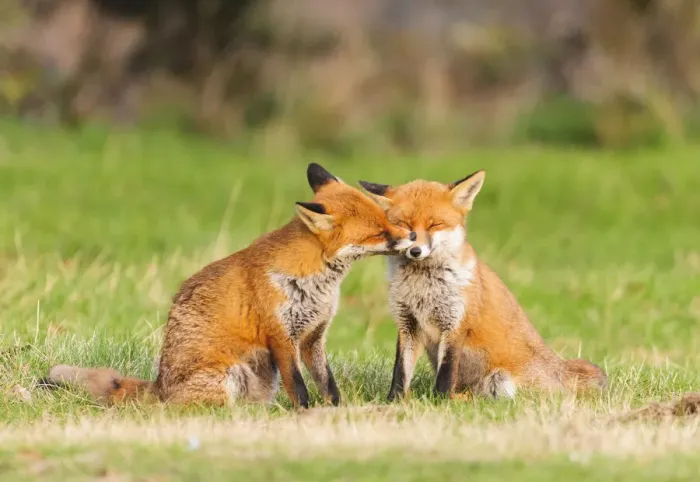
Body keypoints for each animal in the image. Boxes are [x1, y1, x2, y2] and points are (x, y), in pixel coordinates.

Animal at [40, 163, 413, 408]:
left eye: (387, 220)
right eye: (378, 232)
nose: (411, 237)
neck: (315, 282)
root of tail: (160, 386)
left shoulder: (313, 336)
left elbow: (328, 384)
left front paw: (336, 412)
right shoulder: (281, 336)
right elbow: (299, 387)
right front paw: (305, 416)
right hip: (231, 373)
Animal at [358, 170, 607, 401]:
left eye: (435, 224)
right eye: (404, 224)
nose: (415, 251)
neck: (423, 286)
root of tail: (558, 368)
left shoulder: (455, 325)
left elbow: (445, 373)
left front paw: (440, 402)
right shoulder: (407, 324)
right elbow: (400, 373)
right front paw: (393, 402)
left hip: (500, 381)